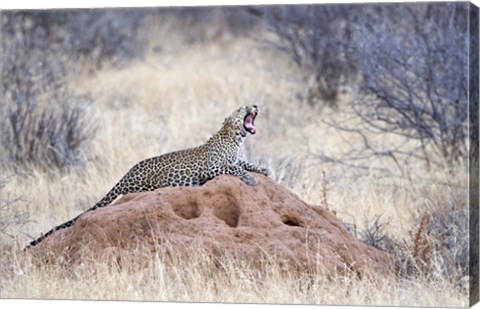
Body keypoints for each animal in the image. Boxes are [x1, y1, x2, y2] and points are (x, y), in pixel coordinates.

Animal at [25, 104, 270, 249]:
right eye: (242, 108)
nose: (255, 104)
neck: (236, 138)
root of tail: (128, 172)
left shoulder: (237, 159)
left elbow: (246, 164)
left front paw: (264, 170)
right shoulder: (212, 168)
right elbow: (236, 169)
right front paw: (252, 179)